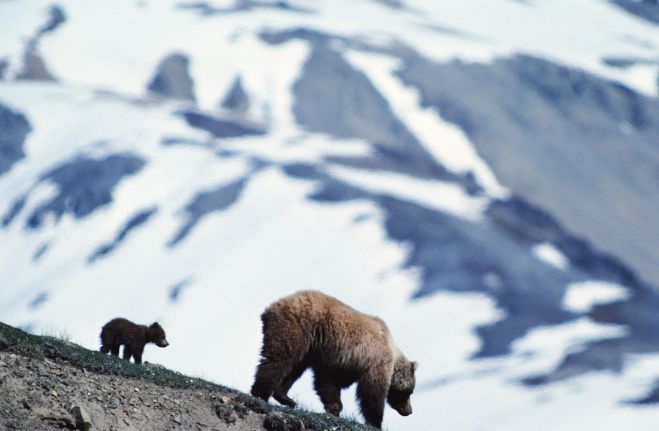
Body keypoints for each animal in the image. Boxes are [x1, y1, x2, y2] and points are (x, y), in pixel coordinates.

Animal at [251, 290, 418, 428]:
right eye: (409, 392)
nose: (409, 411)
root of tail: (271, 307)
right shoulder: (374, 362)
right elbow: (371, 392)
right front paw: (375, 422)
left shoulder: (339, 362)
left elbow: (327, 381)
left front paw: (333, 407)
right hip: (297, 327)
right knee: (279, 359)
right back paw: (261, 393)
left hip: (308, 347)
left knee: (294, 368)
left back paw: (286, 397)